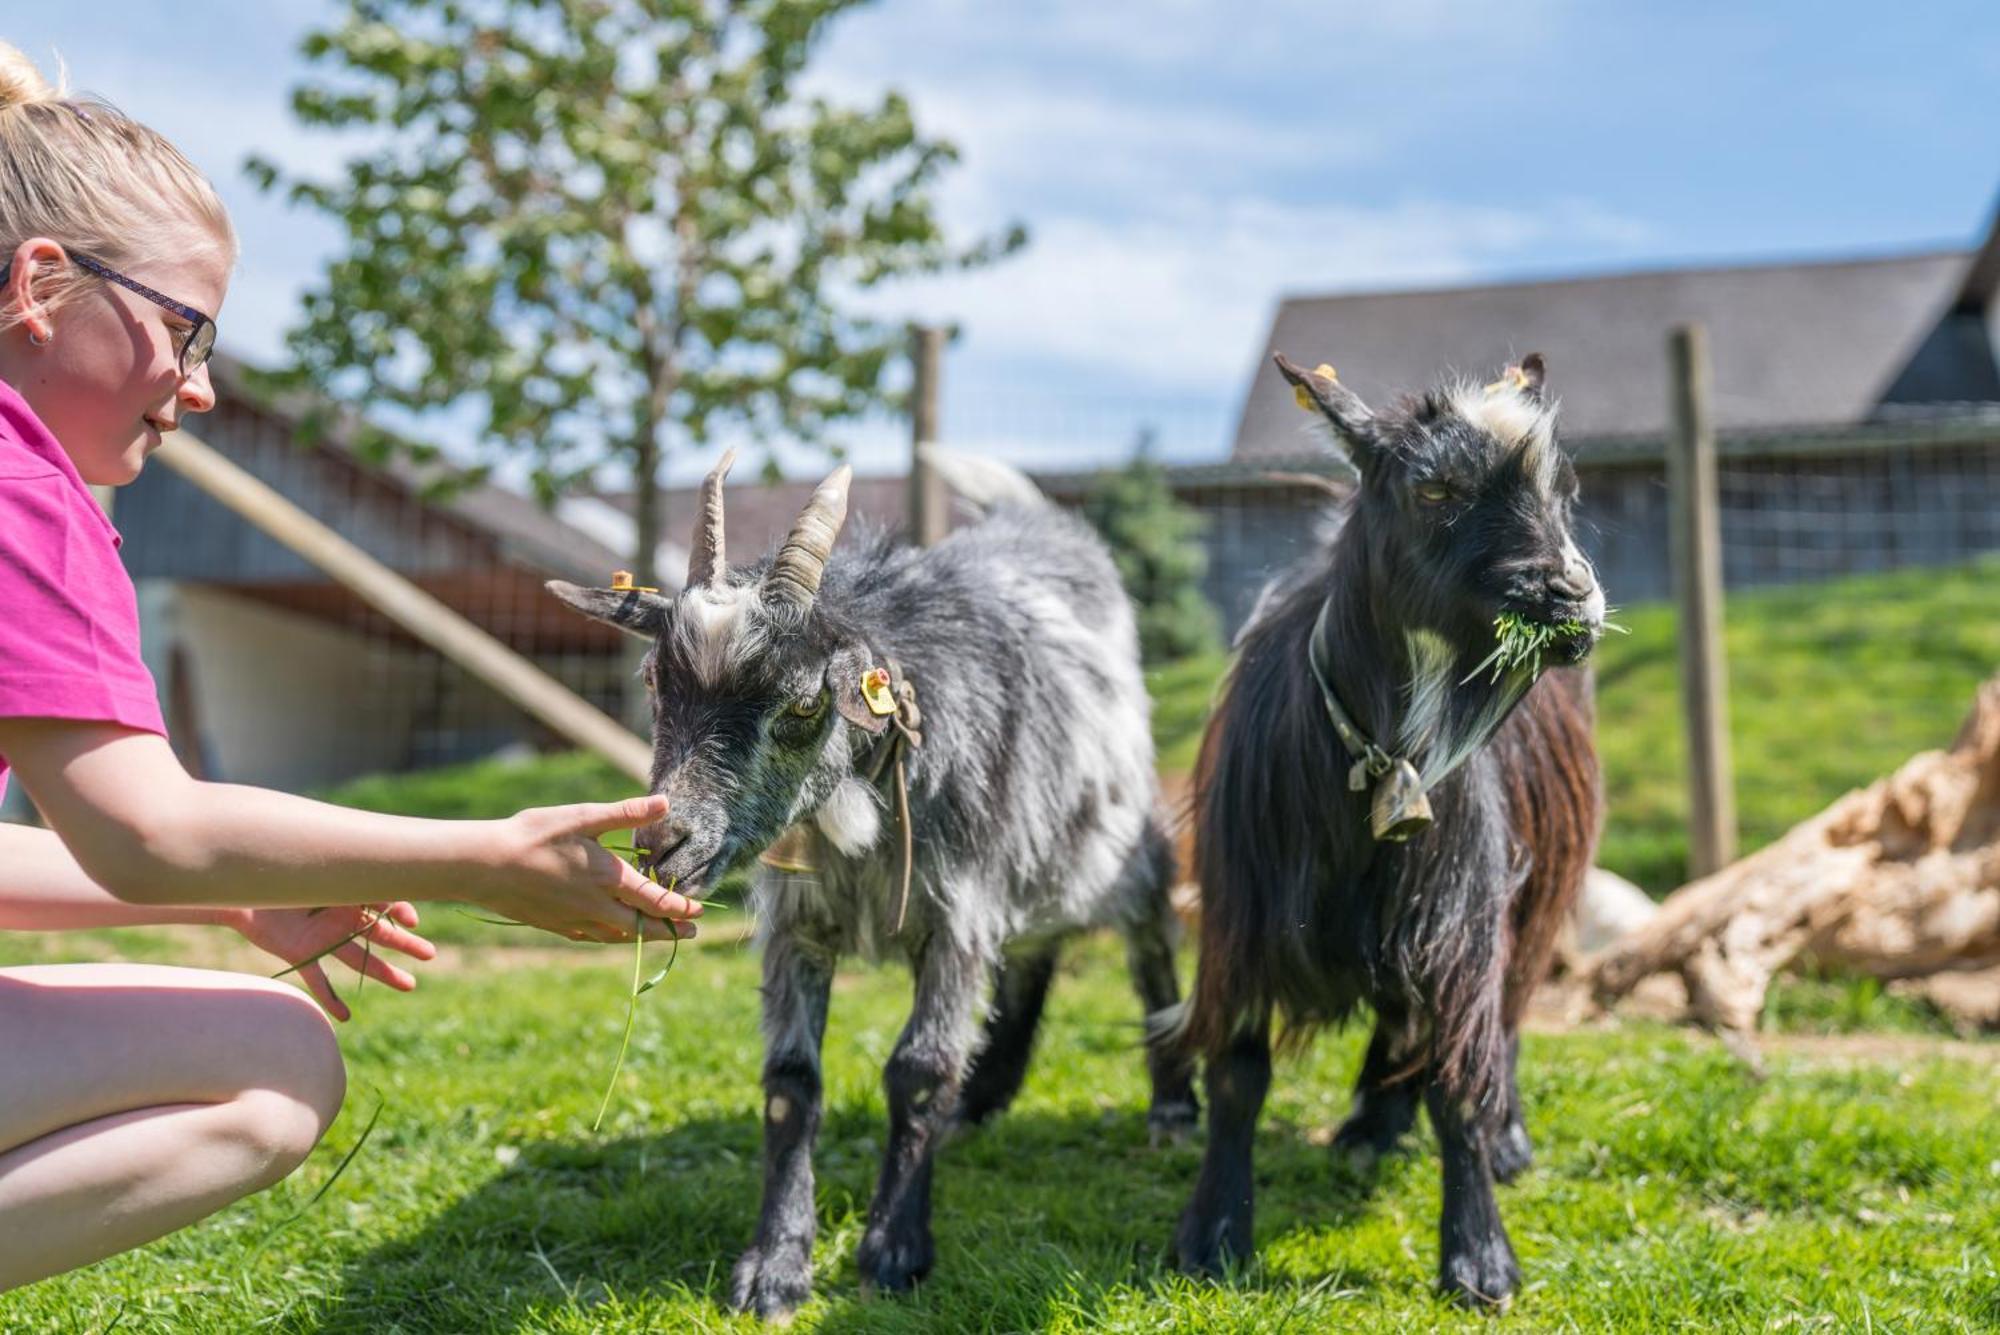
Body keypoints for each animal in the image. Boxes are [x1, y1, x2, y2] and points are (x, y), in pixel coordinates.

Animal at [548, 451, 1192, 1327]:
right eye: (654, 679)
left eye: (805, 702)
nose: (663, 842)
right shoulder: (799, 925)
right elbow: (792, 1082)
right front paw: (776, 1265)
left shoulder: (957, 914)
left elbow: (917, 1068)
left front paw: (893, 1248)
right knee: (1032, 951)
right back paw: (982, 1099)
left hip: (1117, 836)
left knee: (1148, 933)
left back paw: (1172, 1106)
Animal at [1176, 351, 1600, 1303]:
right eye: (1434, 487)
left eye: (1566, 489)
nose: (1568, 599)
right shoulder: (1241, 917)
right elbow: (1237, 1077)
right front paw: (1212, 1234)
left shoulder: (1460, 910)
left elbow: (1459, 1080)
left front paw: (1480, 1258)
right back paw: (1370, 1121)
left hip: (1535, 895)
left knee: (1504, 1019)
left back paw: (1500, 1138)